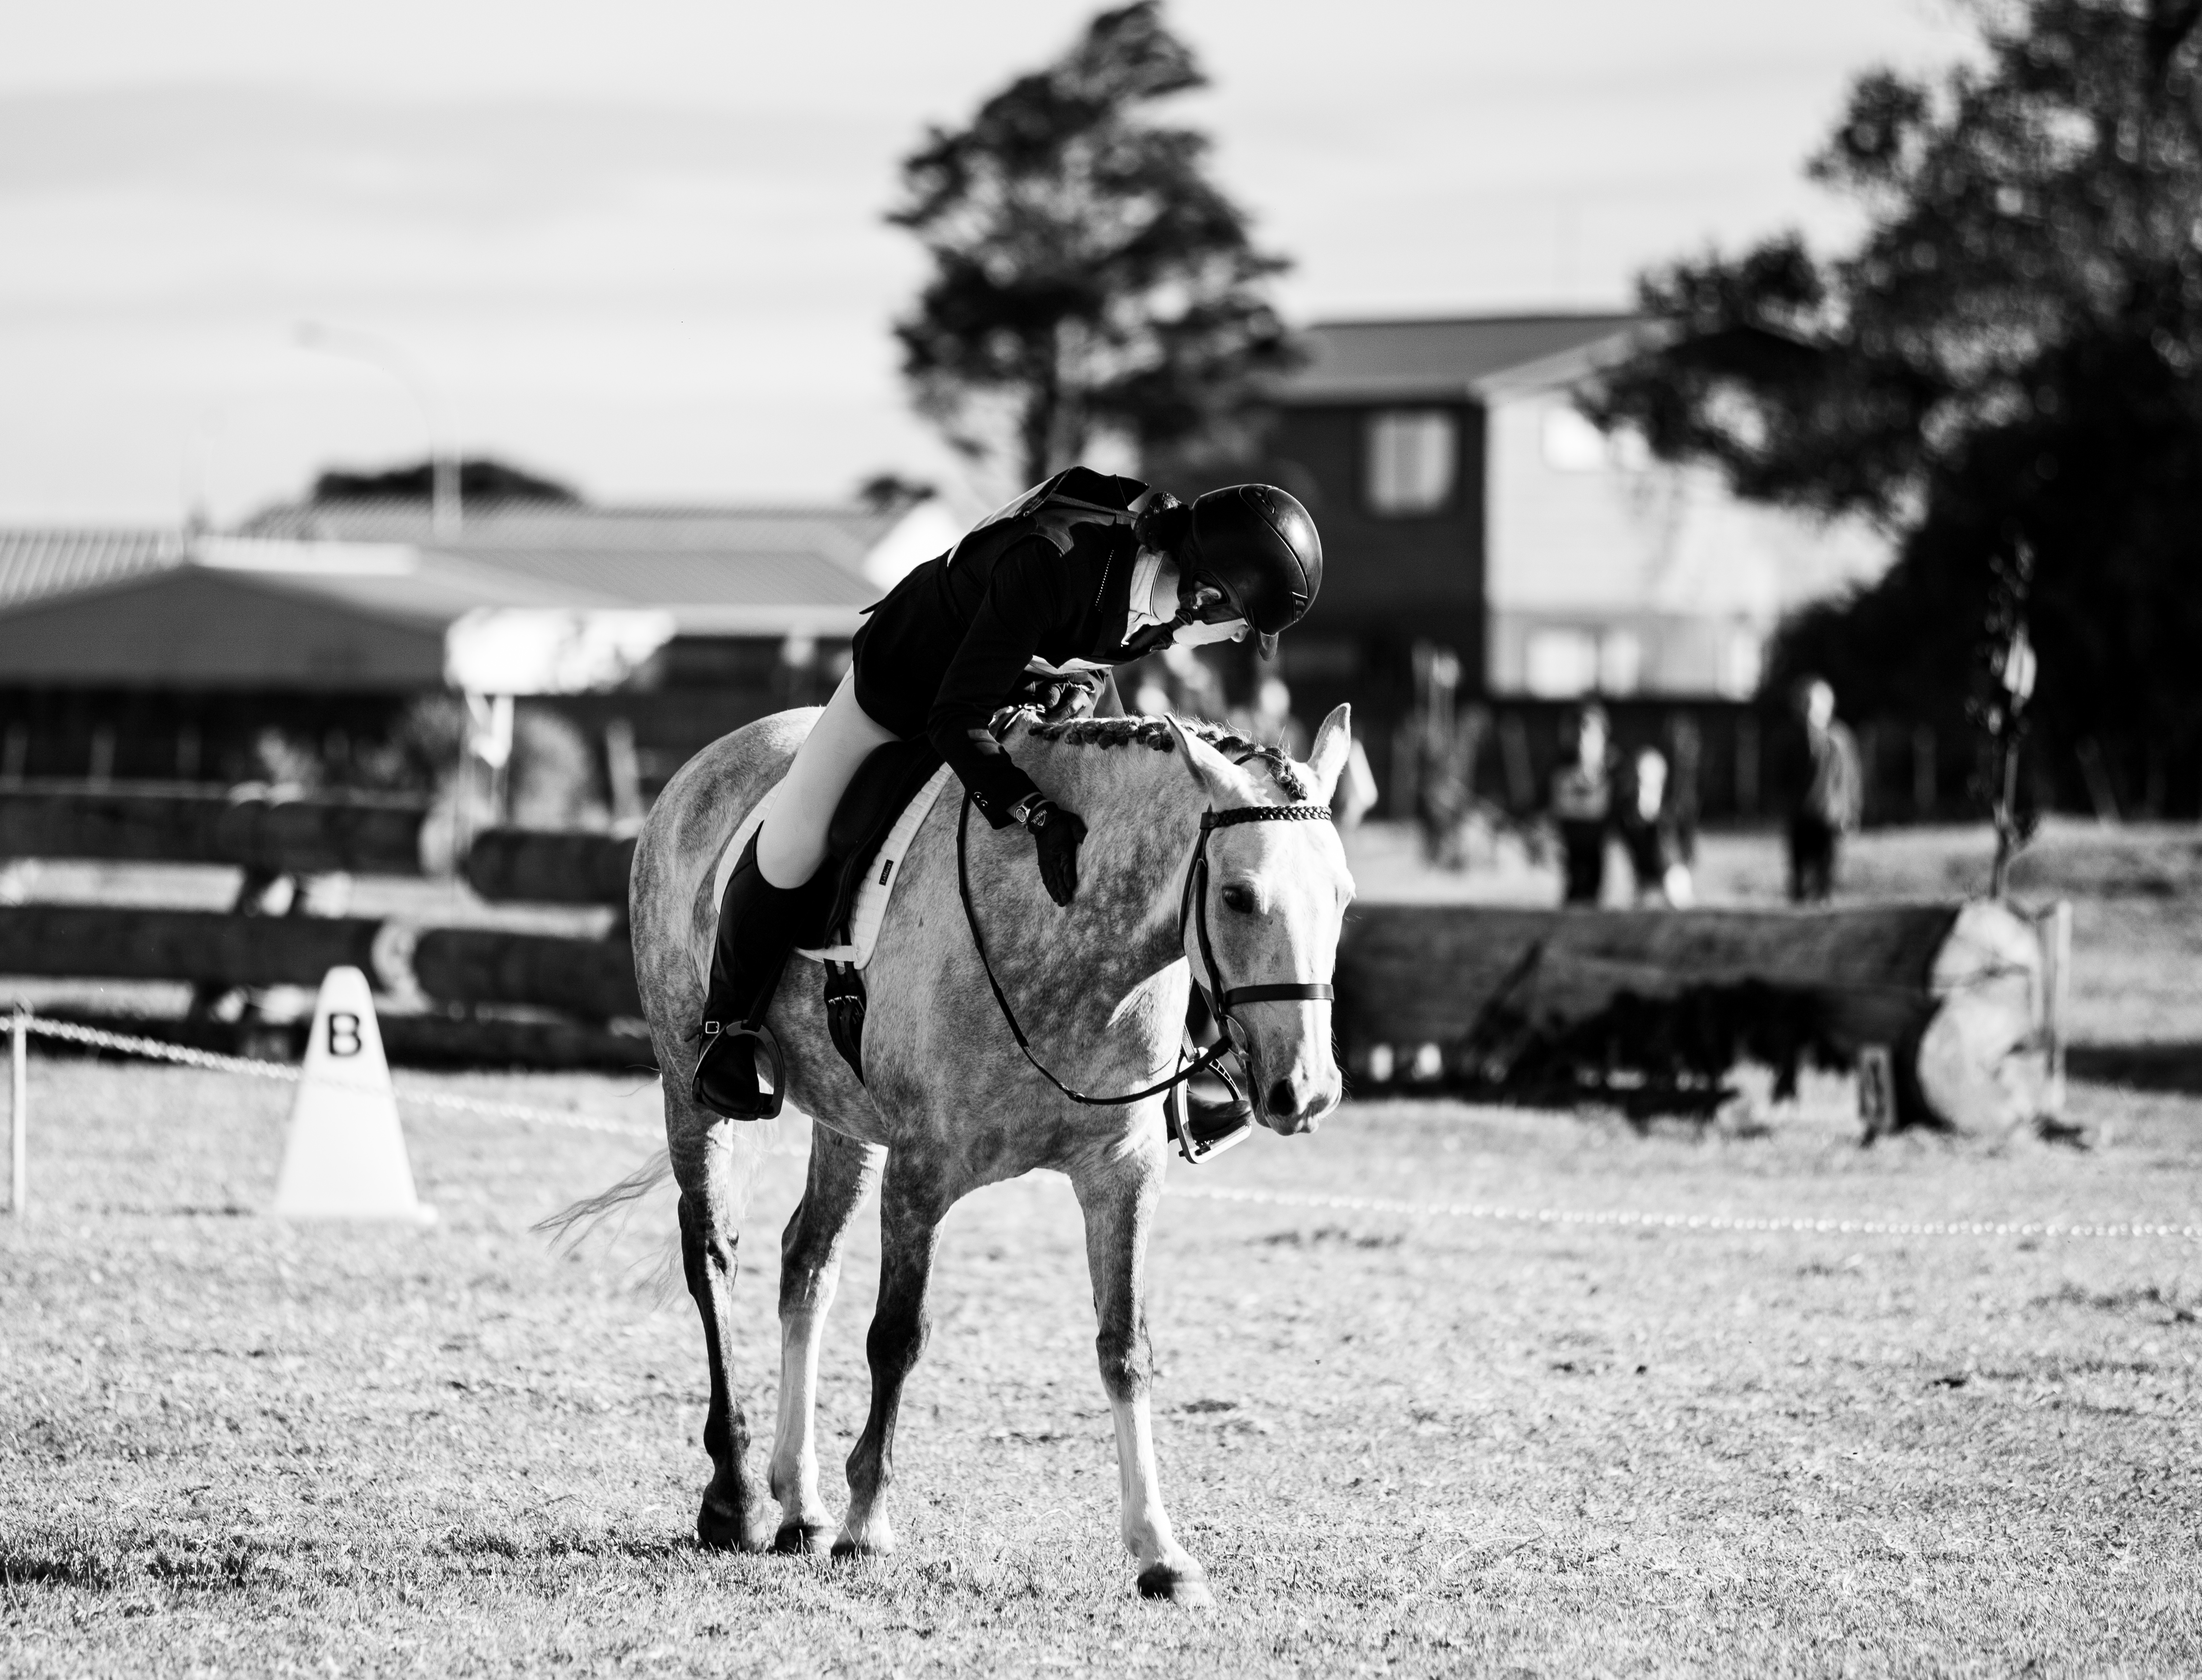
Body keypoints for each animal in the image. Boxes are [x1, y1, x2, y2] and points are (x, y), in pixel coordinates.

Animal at [592, 702, 1355, 1606]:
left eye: (1342, 898)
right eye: (1239, 896)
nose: (1306, 1091)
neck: (1067, 925)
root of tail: (710, 760)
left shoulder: (1122, 1173)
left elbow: (1125, 1349)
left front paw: (1161, 1554)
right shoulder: (923, 1171)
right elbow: (897, 1336)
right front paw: (867, 1527)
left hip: (849, 1123)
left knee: (806, 1265)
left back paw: (800, 1506)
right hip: (691, 1082)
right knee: (713, 1255)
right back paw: (737, 1497)